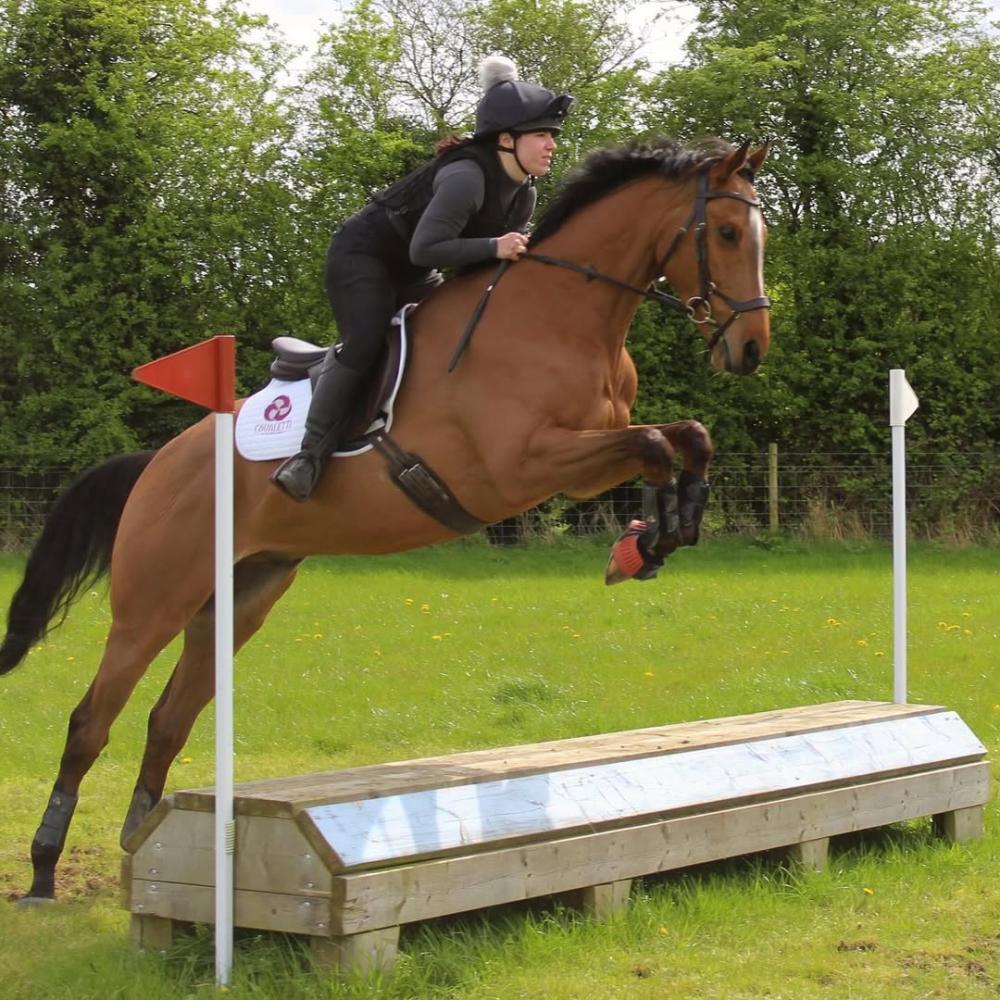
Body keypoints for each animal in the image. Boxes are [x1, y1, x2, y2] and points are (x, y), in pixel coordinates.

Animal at [1, 136, 770, 903]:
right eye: (729, 233)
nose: (752, 349)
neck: (560, 317)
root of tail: (157, 464)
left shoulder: (587, 456)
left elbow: (688, 437)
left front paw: (665, 534)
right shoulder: (524, 466)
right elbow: (655, 446)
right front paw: (645, 545)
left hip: (238, 600)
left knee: (167, 720)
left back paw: (144, 843)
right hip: (153, 602)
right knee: (90, 722)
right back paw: (43, 868)